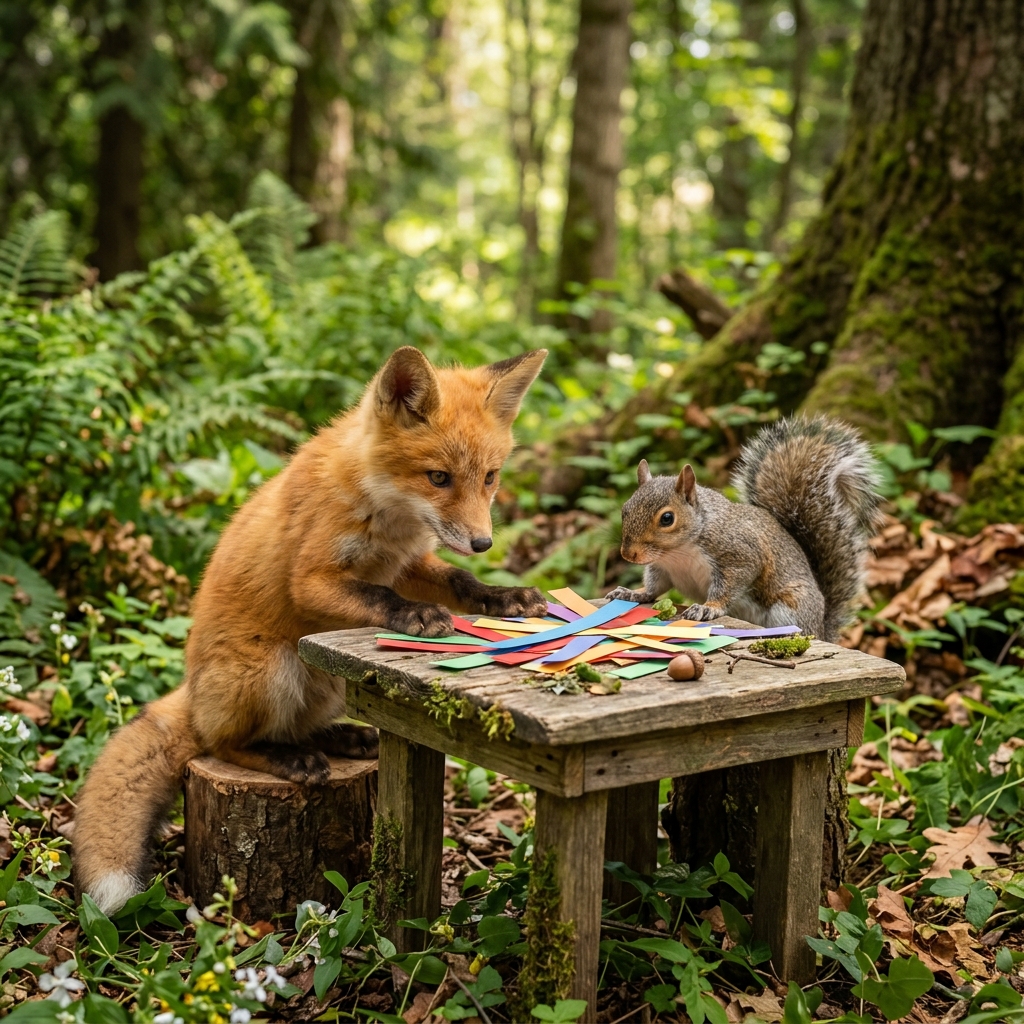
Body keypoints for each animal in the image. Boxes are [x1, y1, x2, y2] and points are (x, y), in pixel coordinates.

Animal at [73, 345, 549, 913]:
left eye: (490, 477)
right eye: (438, 478)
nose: (483, 542)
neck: (386, 513)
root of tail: (190, 693)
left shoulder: (409, 564)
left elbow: (459, 580)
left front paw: (505, 596)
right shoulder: (312, 579)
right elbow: (382, 598)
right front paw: (420, 616)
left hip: (330, 682)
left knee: (298, 726)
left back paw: (344, 738)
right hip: (270, 668)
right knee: (224, 743)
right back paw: (288, 759)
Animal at [606, 416, 883, 643]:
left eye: (667, 518)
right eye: (625, 509)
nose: (628, 554)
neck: (677, 552)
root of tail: (822, 629)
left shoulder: (738, 554)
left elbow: (731, 584)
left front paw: (709, 607)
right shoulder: (662, 568)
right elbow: (655, 587)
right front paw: (634, 593)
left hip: (791, 607)